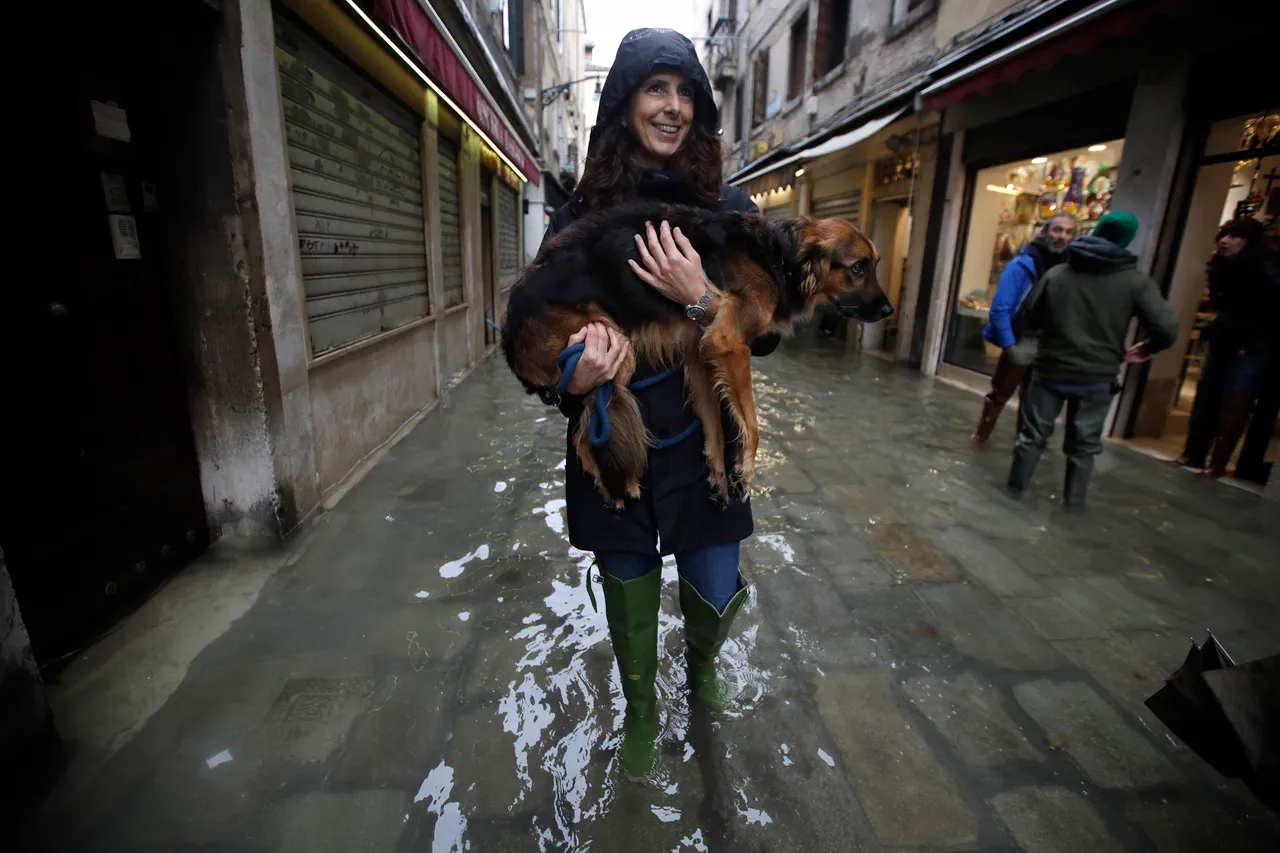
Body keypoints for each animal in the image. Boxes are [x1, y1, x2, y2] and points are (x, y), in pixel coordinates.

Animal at [499, 199, 890, 504]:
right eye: (859, 267)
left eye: (875, 264)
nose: (888, 311)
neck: (777, 257)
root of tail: (508, 332)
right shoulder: (728, 343)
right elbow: (752, 424)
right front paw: (745, 471)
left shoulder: (701, 354)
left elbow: (714, 423)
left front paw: (719, 476)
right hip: (613, 350)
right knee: (583, 436)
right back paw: (617, 489)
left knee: (587, 429)